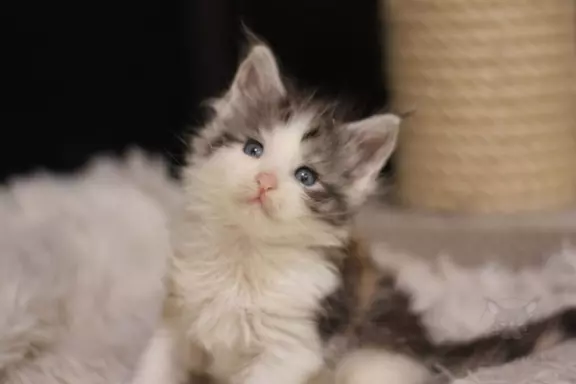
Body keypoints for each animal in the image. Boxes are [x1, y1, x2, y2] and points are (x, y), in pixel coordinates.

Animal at [130, 42, 576, 384]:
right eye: (253, 149)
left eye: (306, 176)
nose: (265, 181)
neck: (245, 257)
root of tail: (427, 348)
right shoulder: (178, 319)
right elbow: (154, 369)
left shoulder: (293, 347)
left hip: (370, 363)